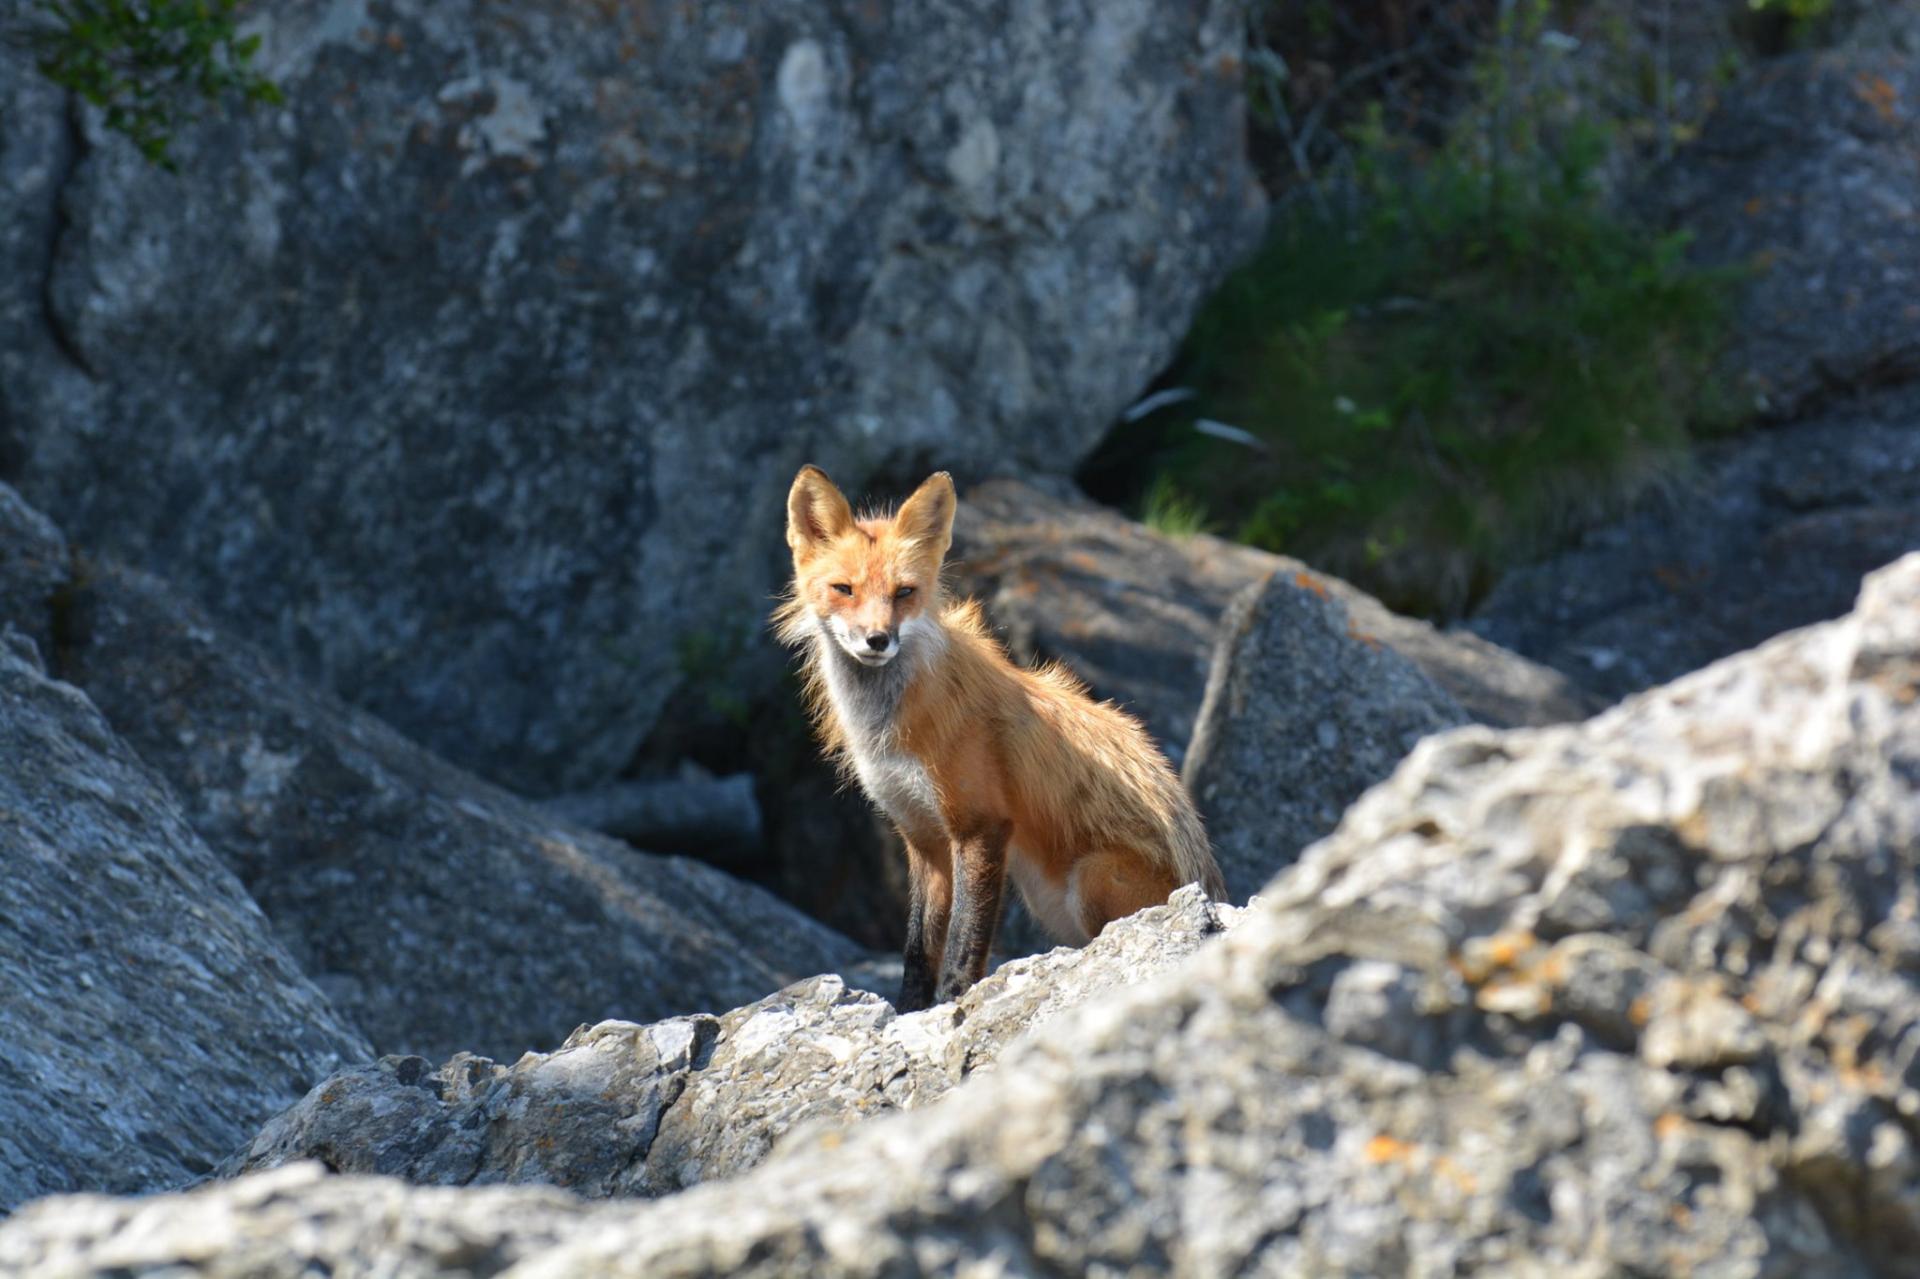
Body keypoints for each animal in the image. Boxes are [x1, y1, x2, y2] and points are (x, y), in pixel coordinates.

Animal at [771, 462, 1221, 1013]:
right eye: (844, 589)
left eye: (904, 593)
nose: (877, 640)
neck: (890, 730)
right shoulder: (921, 837)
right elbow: (918, 950)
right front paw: (909, 1011)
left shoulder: (980, 826)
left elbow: (964, 946)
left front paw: (953, 1008)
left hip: (1089, 880)